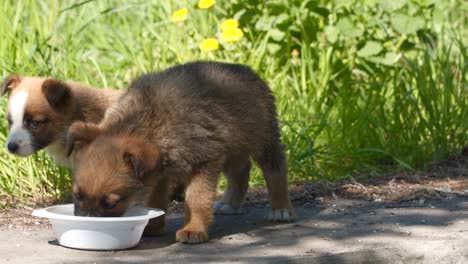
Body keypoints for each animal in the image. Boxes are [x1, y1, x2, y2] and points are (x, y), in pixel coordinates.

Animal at [66, 61, 296, 243]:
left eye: (112, 202)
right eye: (77, 195)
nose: (86, 223)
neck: (149, 124)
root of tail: (247, 70)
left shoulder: (205, 161)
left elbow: (196, 199)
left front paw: (193, 229)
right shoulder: (159, 173)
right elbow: (156, 202)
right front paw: (153, 226)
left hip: (263, 137)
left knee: (275, 168)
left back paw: (281, 208)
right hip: (232, 145)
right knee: (240, 170)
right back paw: (230, 203)